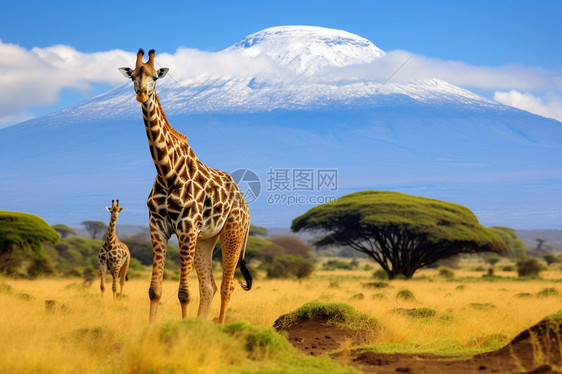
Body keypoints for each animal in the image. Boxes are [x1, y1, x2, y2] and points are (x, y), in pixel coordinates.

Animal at [118, 49, 252, 324]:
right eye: (133, 76)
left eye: (155, 77)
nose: (142, 94)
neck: (166, 172)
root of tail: (246, 205)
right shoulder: (157, 227)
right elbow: (154, 291)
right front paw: (152, 328)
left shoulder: (186, 227)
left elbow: (183, 293)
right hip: (205, 239)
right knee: (209, 286)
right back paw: (201, 325)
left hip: (232, 233)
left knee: (227, 285)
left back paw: (221, 326)